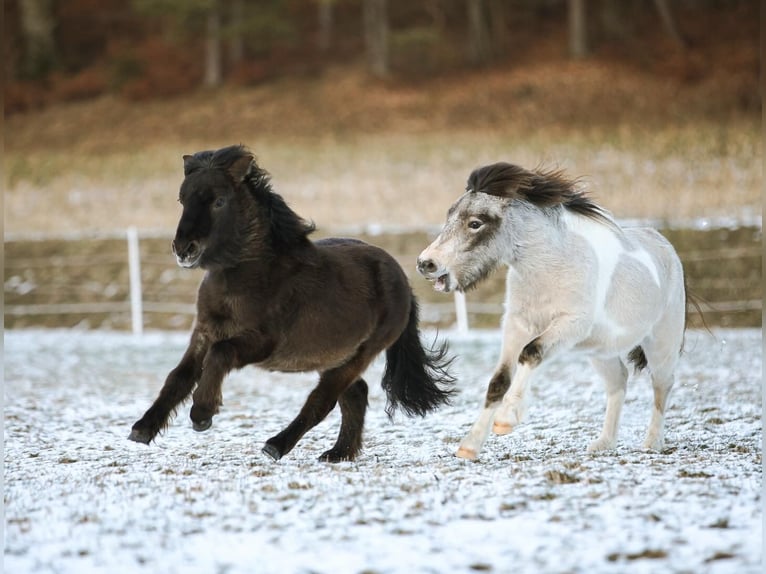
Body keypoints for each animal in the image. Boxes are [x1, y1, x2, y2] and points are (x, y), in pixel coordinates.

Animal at [129, 145, 456, 464]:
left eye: (219, 201)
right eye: (182, 199)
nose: (184, 249)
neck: (247, 276)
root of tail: (402, 279)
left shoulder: (262, 342)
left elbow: (220, 354)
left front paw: (202, 413)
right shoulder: (204, 332)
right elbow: (178, 377)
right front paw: (142, 429)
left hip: (360, 354)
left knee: (323, 400)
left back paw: (277, 445)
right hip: (336, 356)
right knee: (355, 395)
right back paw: (338, 454)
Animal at [420, 163, 688, 464]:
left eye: (475, 223)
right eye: (450, 215)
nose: (426, 263)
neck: (550, 268)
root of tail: (664, 246)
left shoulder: (568, 326)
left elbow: (530, 353)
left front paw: (506, 419)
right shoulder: (517, 325)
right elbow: (499, 381)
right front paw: (470, 446)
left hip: (661, 344)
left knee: (662, 386)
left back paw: (653, 443)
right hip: (600, 352)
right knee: (618, 381)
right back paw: (603, 444)